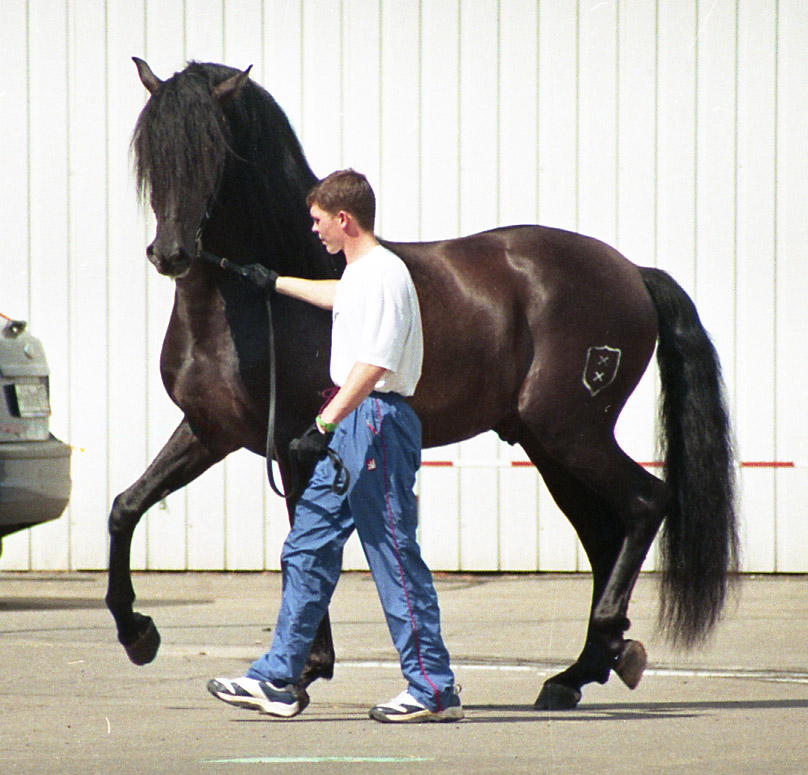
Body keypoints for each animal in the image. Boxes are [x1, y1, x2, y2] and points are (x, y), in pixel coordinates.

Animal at [105, 58, 738, 711]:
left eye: (215, 153)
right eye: (153, 151)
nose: (171, 254)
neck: (255, 300)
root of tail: (633, 272)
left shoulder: (295, 444)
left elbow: (302, 552)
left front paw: (298, 674)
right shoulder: (210, 432)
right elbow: (126, 506)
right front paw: (137, 634)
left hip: (572, 434)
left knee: (645, 502)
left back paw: (603, 648)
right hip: (551, 446)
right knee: (605, 534)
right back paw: (580, 671)